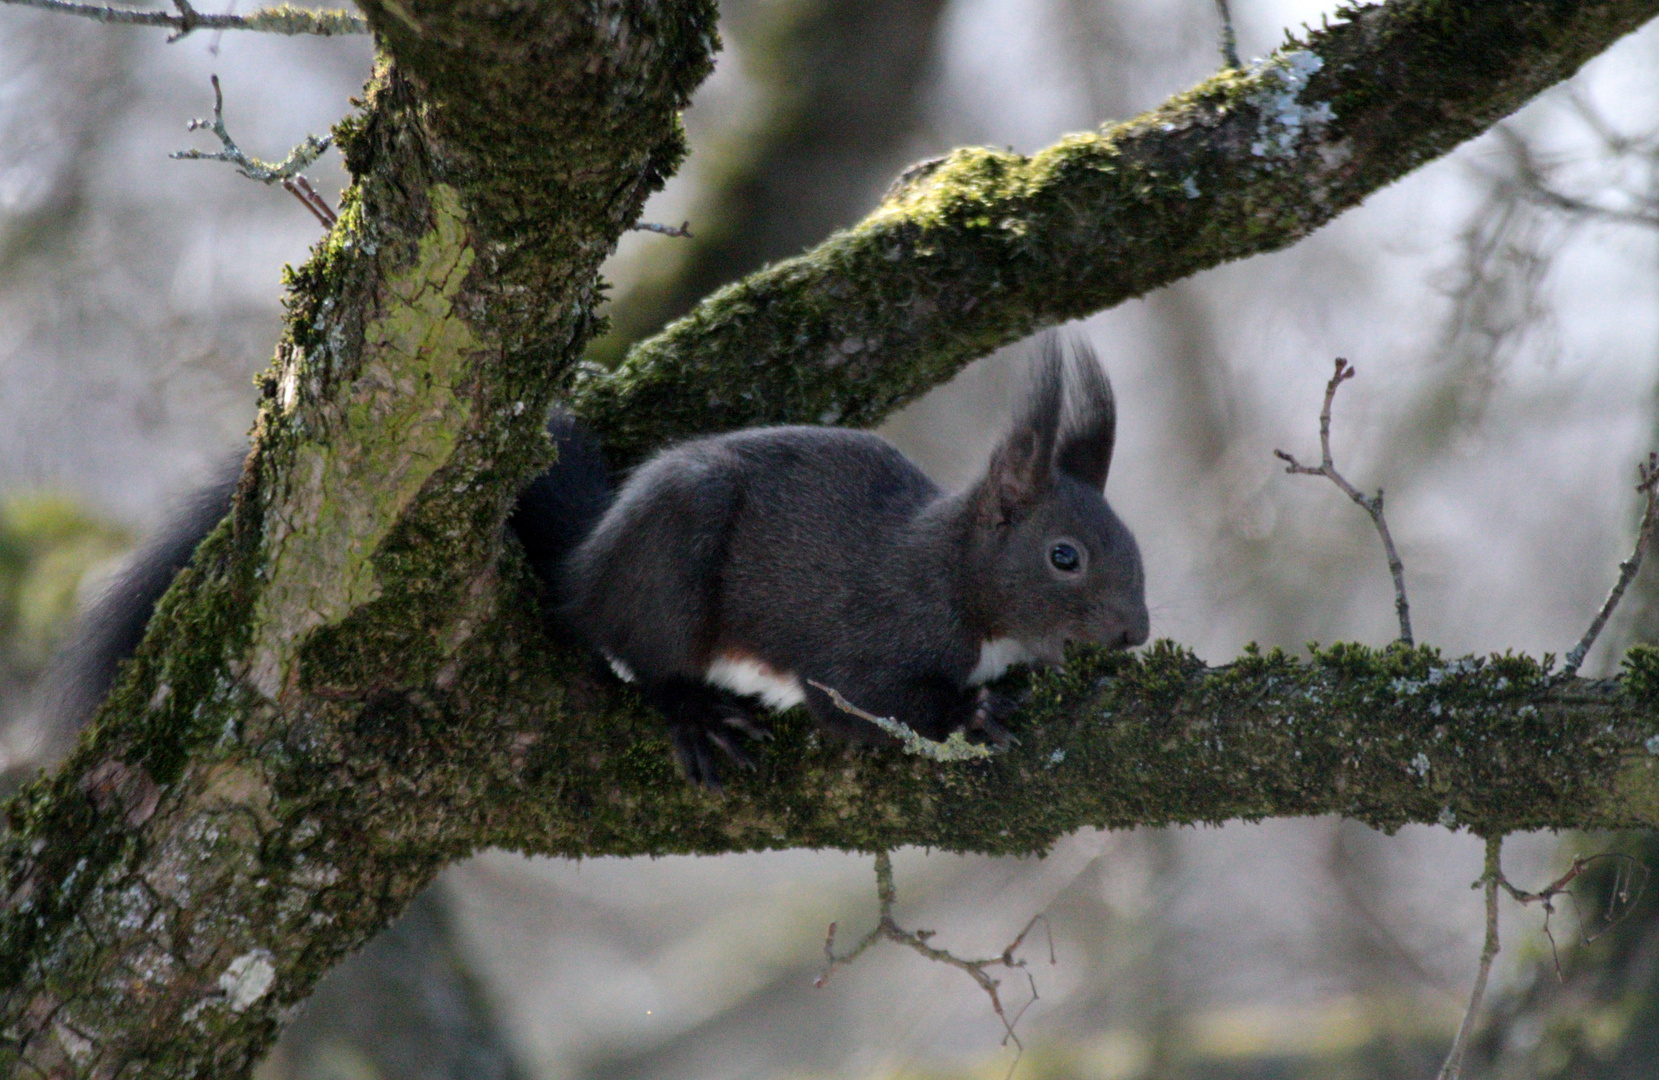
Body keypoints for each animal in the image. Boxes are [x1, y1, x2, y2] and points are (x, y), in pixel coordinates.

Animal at [51, 331, 1148, 786]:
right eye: (1064, 556)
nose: (1136, 633)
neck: (958, 578)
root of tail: (587, 557)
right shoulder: (870, 637)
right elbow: (866, 708)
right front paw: (974, 714)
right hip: (667, 571)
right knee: (630, 650)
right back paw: (696, 713)